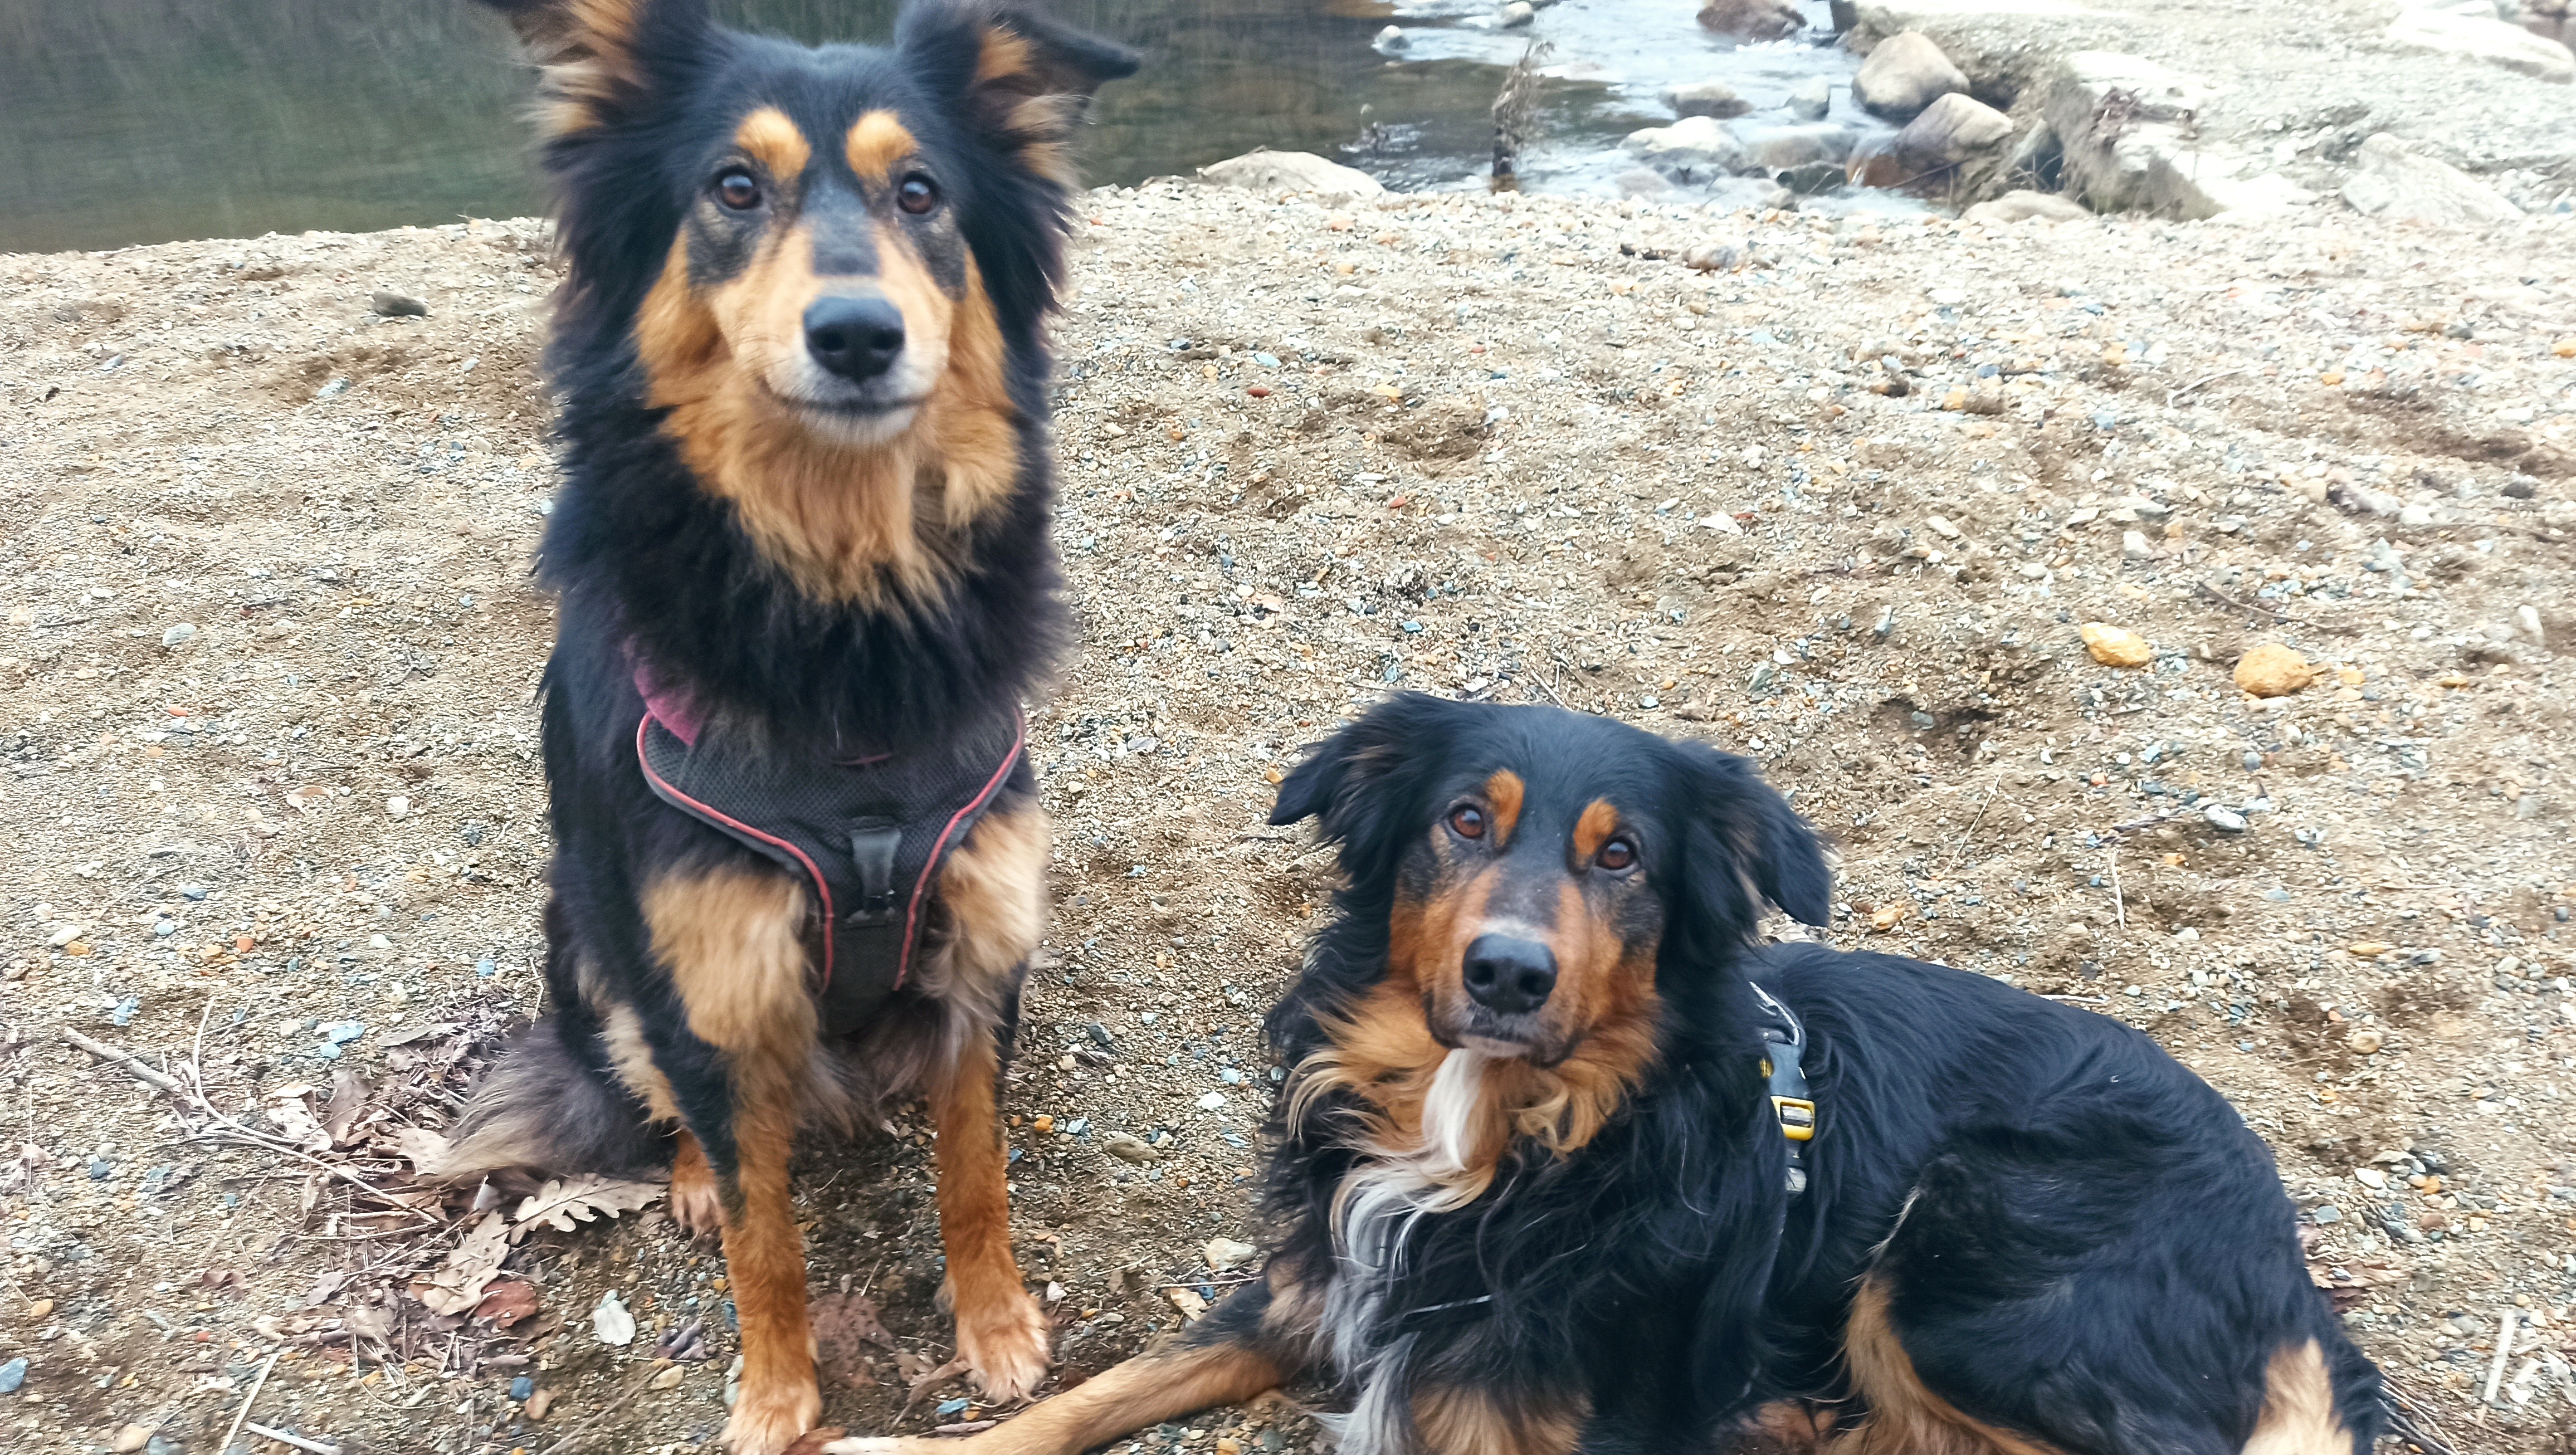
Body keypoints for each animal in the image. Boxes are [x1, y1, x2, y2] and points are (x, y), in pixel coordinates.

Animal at [434, 3, 1134, 1450]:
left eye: (920, 194)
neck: (844, 613)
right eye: (733, 190)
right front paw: (775, 1399)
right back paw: (696, 1173)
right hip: (592, 950)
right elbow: (768, 1237)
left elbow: (975, 1169)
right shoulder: (709, 975)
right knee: (678, 1111)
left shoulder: (982, 941)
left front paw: (998, 1331)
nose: (857, 333)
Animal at [800, 694, 2389, 1455]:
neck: (1488, 1142)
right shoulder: (1316, 1288)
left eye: (1620, 855)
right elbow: (1098, 1392)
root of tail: (2279, 1242)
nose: (1507, 972)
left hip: (1962, 1266)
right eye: (1459, 819)